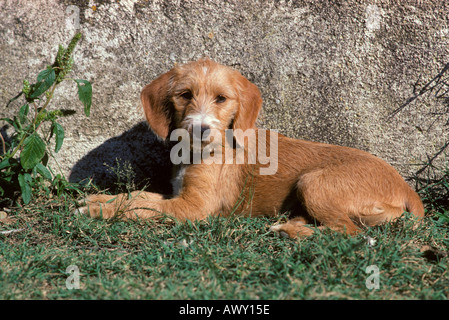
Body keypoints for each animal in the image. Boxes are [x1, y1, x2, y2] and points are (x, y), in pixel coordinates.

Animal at [77, 58, 424, 238]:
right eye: (185, 95)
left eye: (221, 99)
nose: (201, 129)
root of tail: (407, 189)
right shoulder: (179, 197)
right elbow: (139, 197)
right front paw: (100, 199)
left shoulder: (194, 208)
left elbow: (143, 207)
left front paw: (97, 210)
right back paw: (293, 223)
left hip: (313, 182)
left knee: (348, 231)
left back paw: (289, 229)